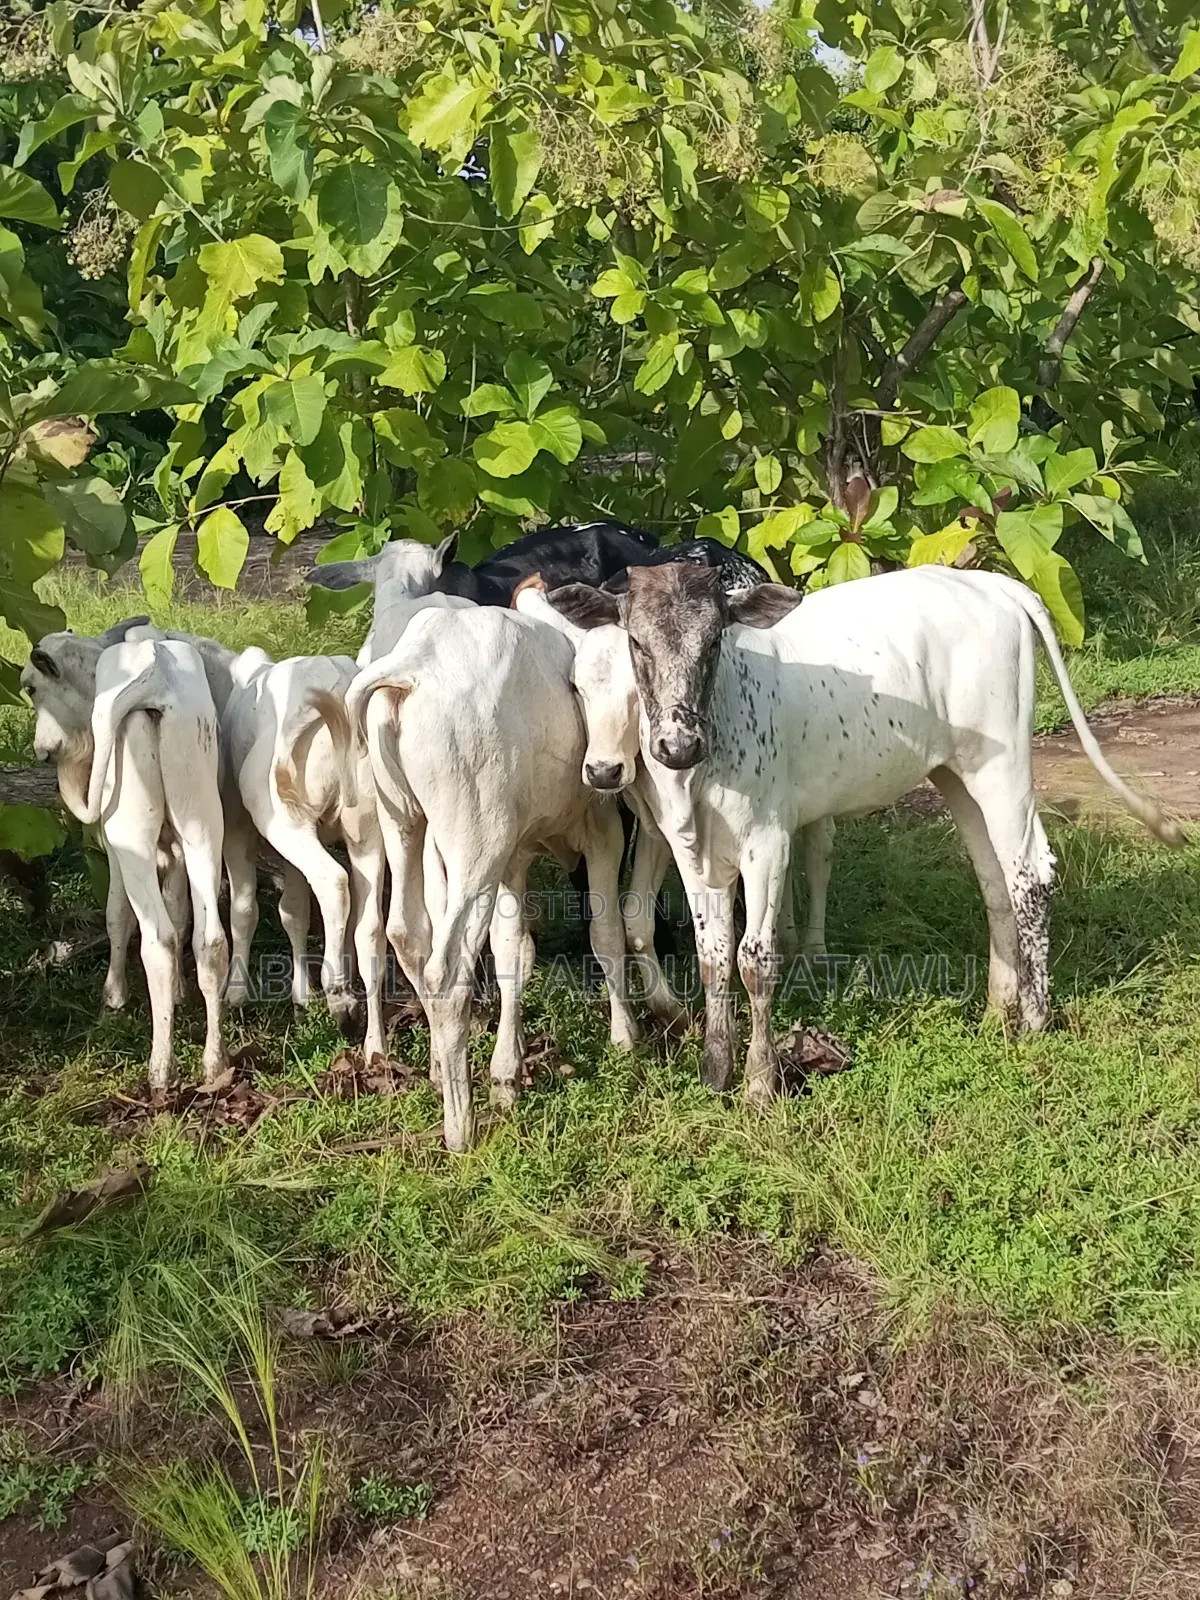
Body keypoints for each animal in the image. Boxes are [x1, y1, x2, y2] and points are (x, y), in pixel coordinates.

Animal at [542, 563, 1184, 1106]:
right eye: (637, 642)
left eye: (715, 641)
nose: (676, 743)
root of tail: (992, 584)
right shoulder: (690, 850)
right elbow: (712, 958)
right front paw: (715, 1072)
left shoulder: (768, 842)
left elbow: (754, 959)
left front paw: (760, 1084)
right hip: (956, 774)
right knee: (993, 878)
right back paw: (996, 1010)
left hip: (1000, 768)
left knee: (1030, 873)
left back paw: (1033, 1021)